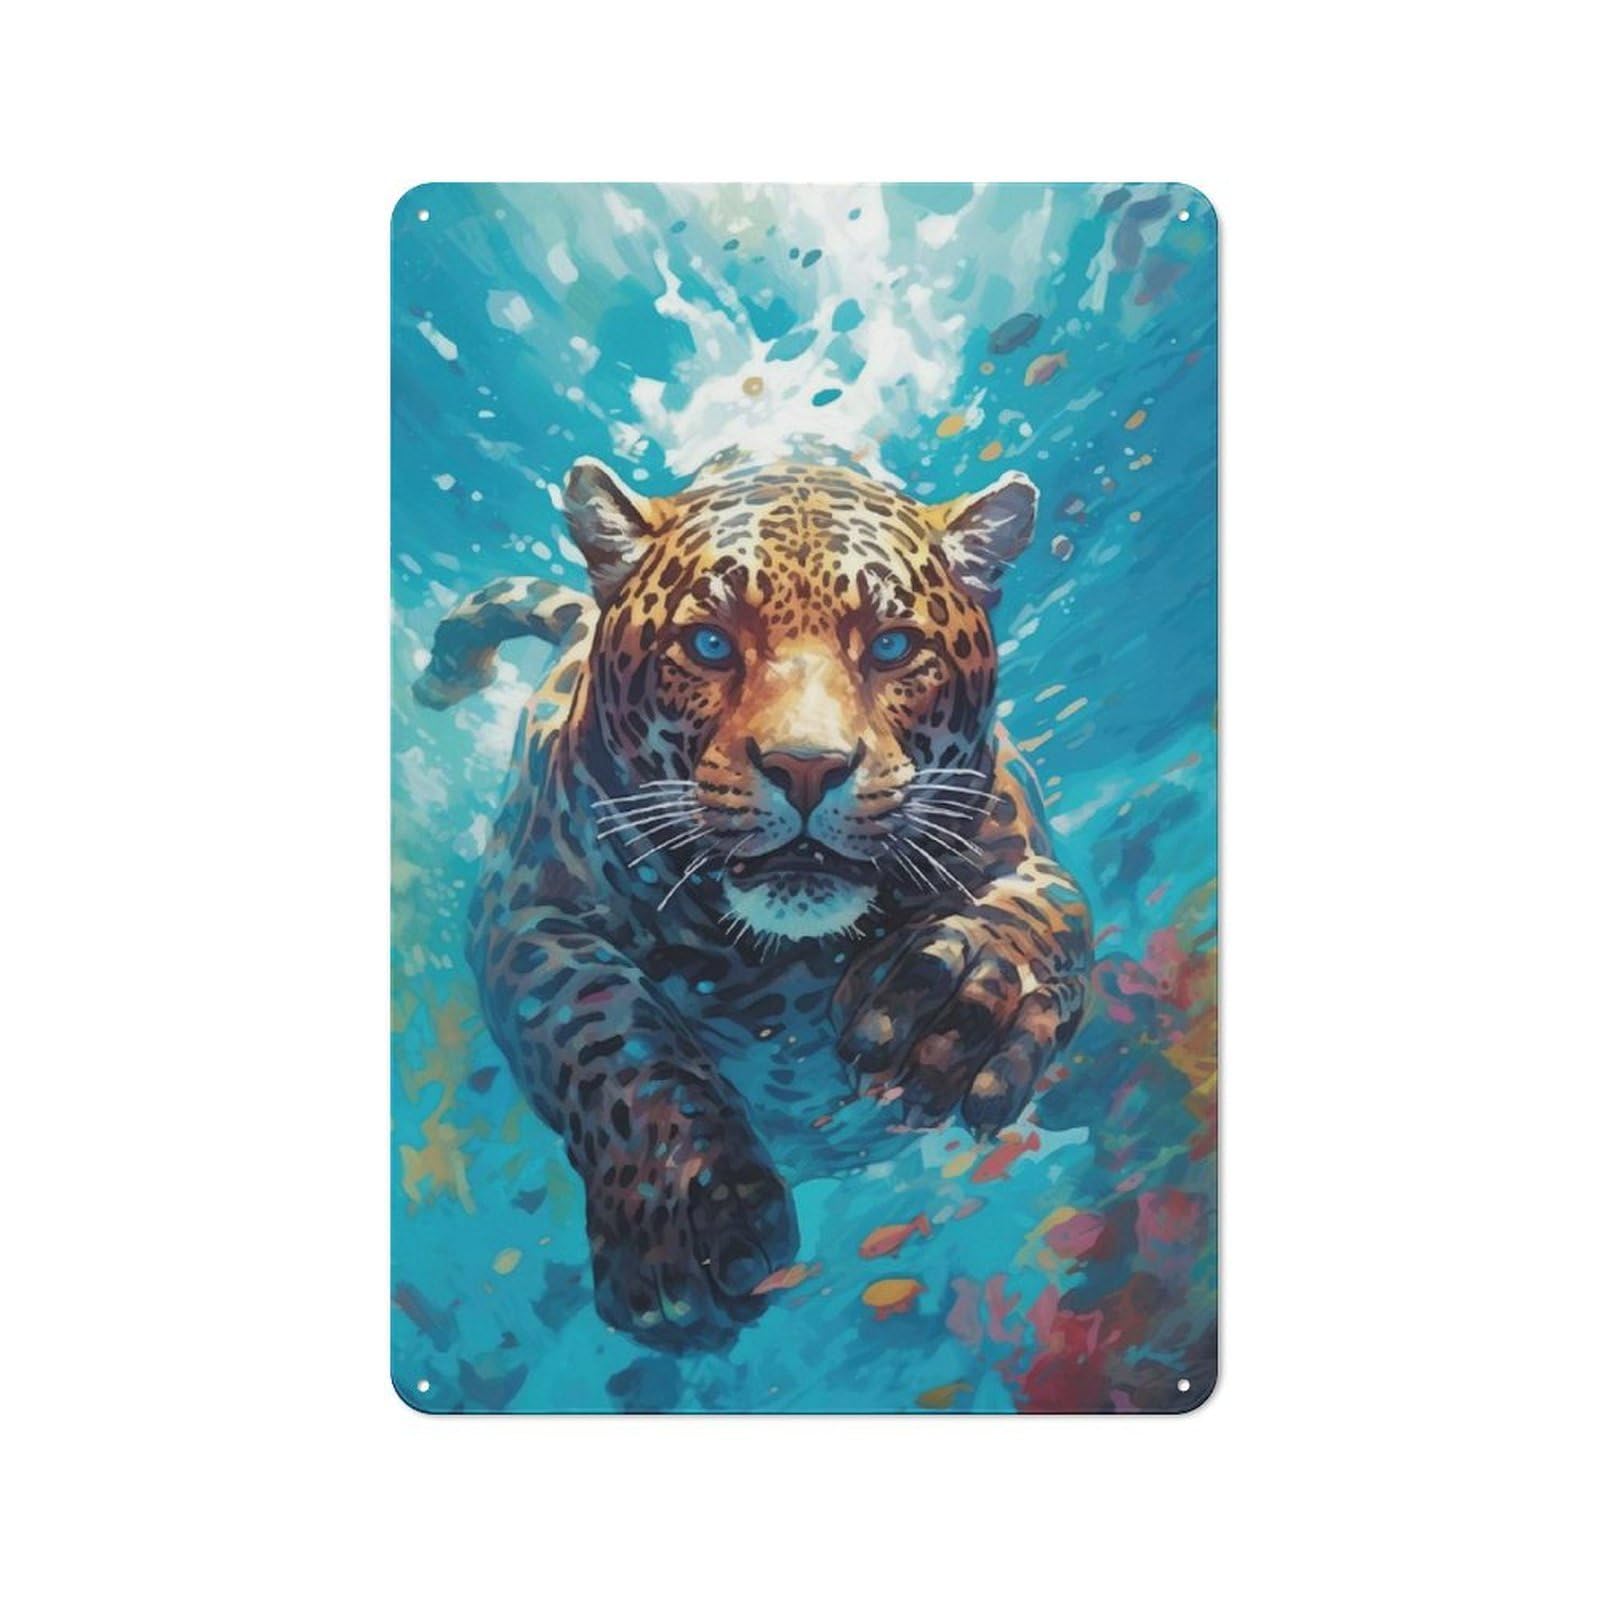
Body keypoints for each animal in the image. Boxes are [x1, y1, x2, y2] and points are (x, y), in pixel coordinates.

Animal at [412, 450, 1092, 1353]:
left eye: (892, 646)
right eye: (709, 643)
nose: (806, 766)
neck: (783, 961)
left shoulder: (1030, 857)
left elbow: (1040, 919)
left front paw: (949, 1001)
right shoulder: (528, 913)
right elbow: (609, 1034)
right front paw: (686, 1211)